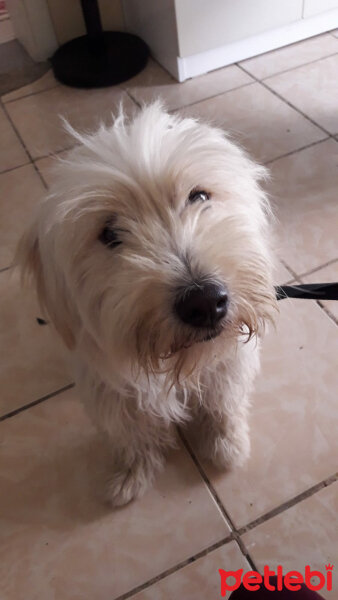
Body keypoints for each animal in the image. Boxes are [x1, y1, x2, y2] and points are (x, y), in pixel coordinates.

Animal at [16, 103, 278, 506]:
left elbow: (224, 400)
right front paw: (132, 475)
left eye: (198, 196)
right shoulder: (105, 381)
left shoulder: (228, 360)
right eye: (109, 233)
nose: (204, 302)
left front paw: (227, 445)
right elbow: (128, 431)